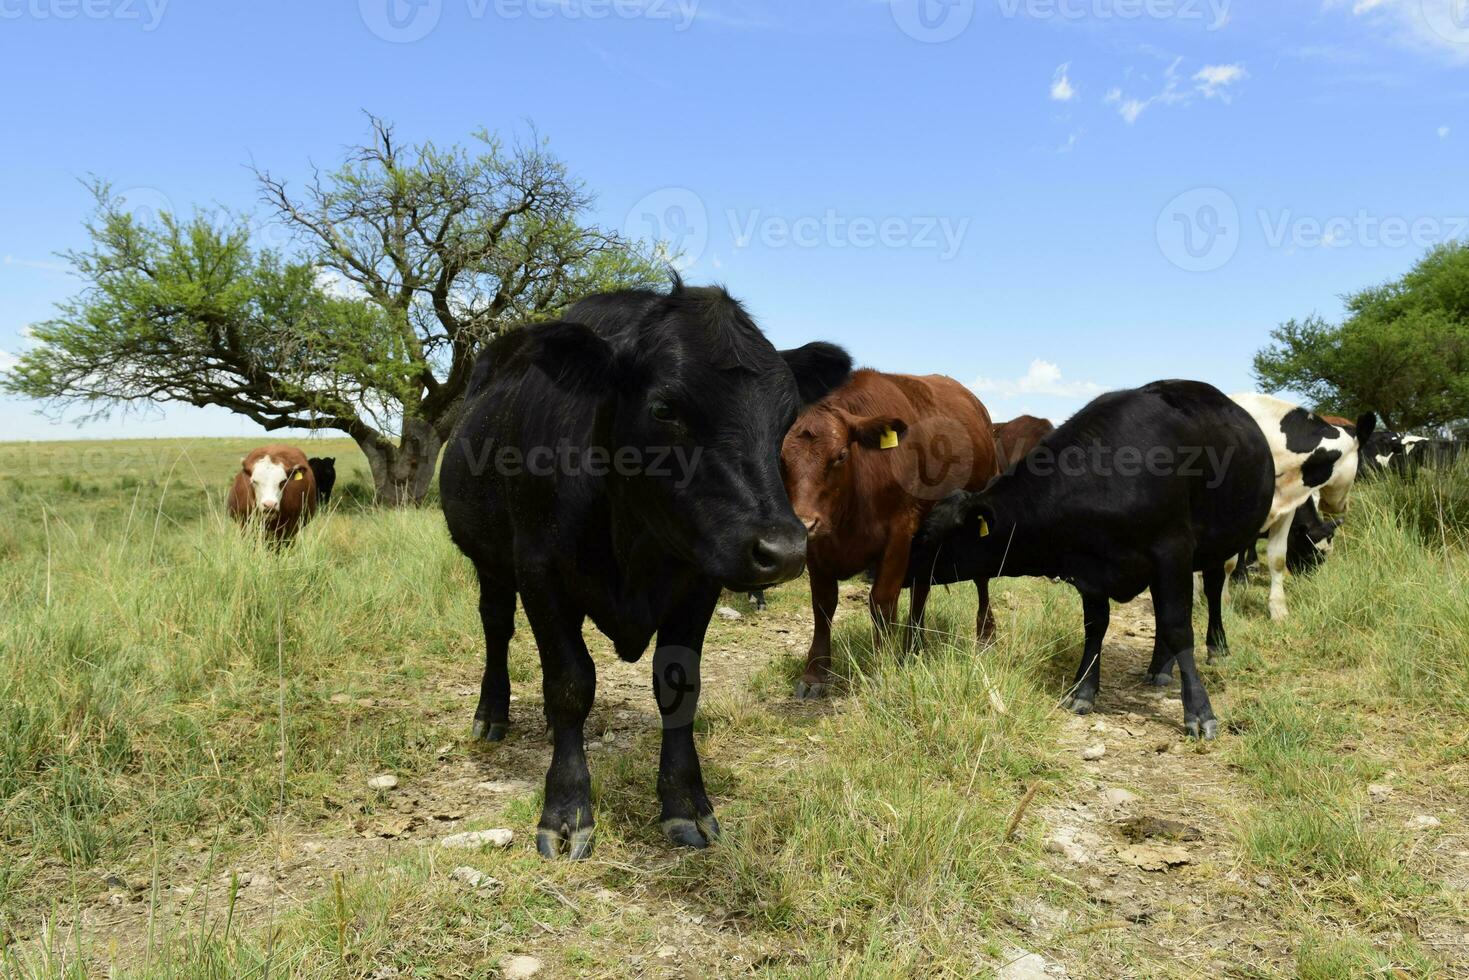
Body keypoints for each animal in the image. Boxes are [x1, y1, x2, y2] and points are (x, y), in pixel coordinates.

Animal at [437, 277, 852, 858]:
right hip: (488, 560)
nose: (784, 549)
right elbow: (569, 685)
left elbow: (678, 686)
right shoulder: (540, 574)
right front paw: (567, 811)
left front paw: (685, 804)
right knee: (496, 626)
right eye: (663, 408)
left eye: (788, 417)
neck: (631, 538)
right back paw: (491, 714)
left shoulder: (697, 583)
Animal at [781, 367, 998, 696]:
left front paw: (880, 669)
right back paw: (913, 647)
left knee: (981, 579)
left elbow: (882, 602)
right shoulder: (818, 546)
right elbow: (823, 604)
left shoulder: (899, 531)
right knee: (922, 587)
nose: (804, 523)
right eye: (780, 457)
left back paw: (985, 636)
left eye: (841, 455)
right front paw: (815, 674)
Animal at [904, 379, 1275, 740]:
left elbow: (1179, 628)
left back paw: (1216, 648)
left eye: (929, 538)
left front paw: (1199, 711)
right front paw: (1082, 690)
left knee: (1212, 591)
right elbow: (1097, 627)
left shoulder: (1173, 549)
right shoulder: (1090, 571)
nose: (898, 571)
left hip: (1216, 547)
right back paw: (1159, 667)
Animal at [1228, 393, 1374, 617]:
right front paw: (1238, 578)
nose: (1308, 579)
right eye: (1307, 552)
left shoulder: (1285, 509)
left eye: (1323, 556)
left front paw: (1278, 610)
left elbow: (1277, 557)